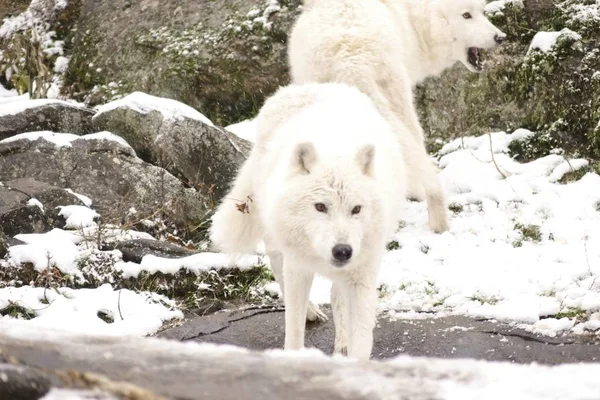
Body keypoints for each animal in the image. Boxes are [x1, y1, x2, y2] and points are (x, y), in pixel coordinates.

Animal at [211, 83, 408, 360]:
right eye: (320, 207)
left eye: (356, 209)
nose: (343, 251)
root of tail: (308, 85)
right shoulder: (297, 267)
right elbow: (293, 330)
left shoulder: (362, 274)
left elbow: (360, 337)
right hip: (276, 241)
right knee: (281, 273)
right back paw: (312, 312)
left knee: (337, 296)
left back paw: (341, 342)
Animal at [288, 0, 504, 234]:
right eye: (466, 15)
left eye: (482, 12)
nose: (500, 37)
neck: (411, 17)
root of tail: (350, 61)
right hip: (401, 102)